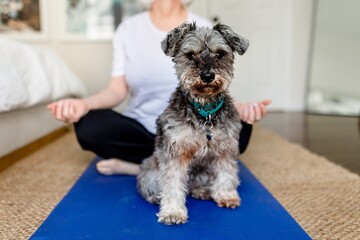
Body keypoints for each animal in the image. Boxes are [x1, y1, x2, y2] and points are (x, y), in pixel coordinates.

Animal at [136, 21, 249, 225]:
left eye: (220, 54)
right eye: (190, 55)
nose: (207, 76)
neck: (205, 111)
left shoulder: (226, 149)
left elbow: (227, 173)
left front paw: (226, 195)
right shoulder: (175, 153)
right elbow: (172, 184)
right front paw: (173, 212)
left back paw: (202, 190)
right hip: (149, 167)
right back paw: (156, 197)